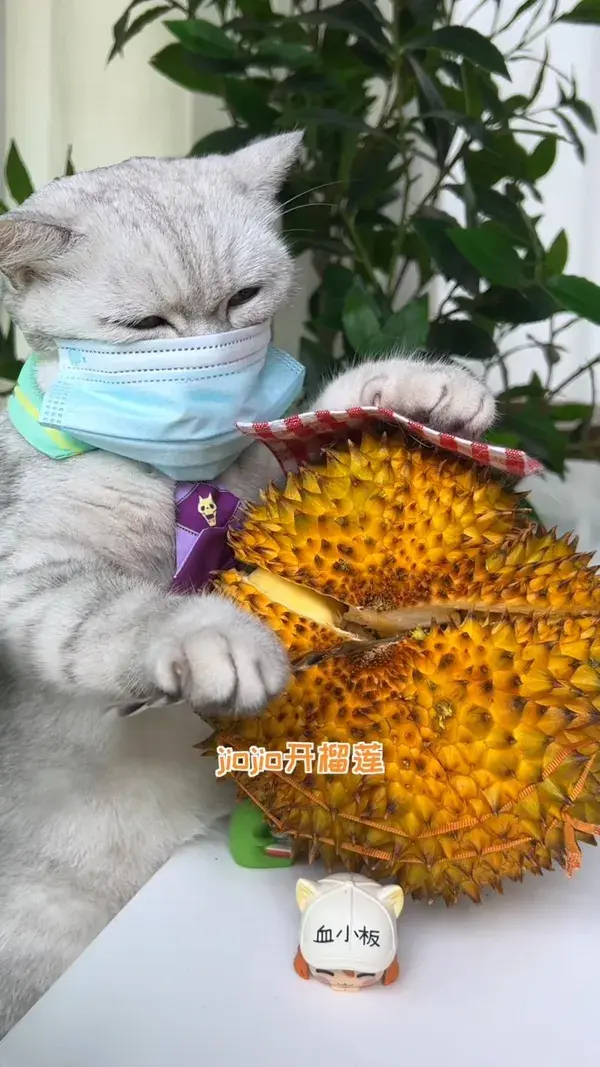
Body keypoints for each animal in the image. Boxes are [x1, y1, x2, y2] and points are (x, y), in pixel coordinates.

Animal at [0, 131, 493, 1032]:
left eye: (243, 299)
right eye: (146, 326)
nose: (204, 355)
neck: (183, 478)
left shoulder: (272, 489)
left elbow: (320, 417)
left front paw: (414, 385)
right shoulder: (39, 574)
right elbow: (122, 613)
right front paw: (213, 636)